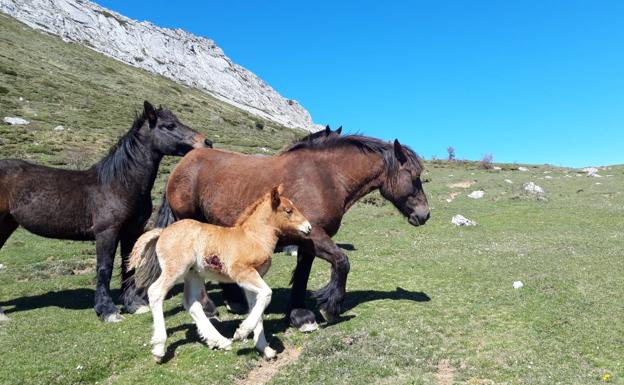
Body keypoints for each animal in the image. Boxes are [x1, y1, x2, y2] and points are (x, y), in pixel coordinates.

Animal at [0, 100, 212, 320]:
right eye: (169, 125)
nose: (207, 142)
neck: (118, 184)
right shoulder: (106, 233)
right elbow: (104, 268)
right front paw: (107, 310)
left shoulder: (132, 231)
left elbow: (128, 264)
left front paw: (133, 305)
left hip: (6, 224)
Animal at [155, 130, 428, 328]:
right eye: (414, 177)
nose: (425, 214)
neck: (325, 178)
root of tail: (182, 165)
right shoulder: (314, 235)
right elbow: (342, 261)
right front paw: (329, 307)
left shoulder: (307, 241)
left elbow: (303, 276)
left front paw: (299, 315)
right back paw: (209, 308)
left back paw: (234, 302)